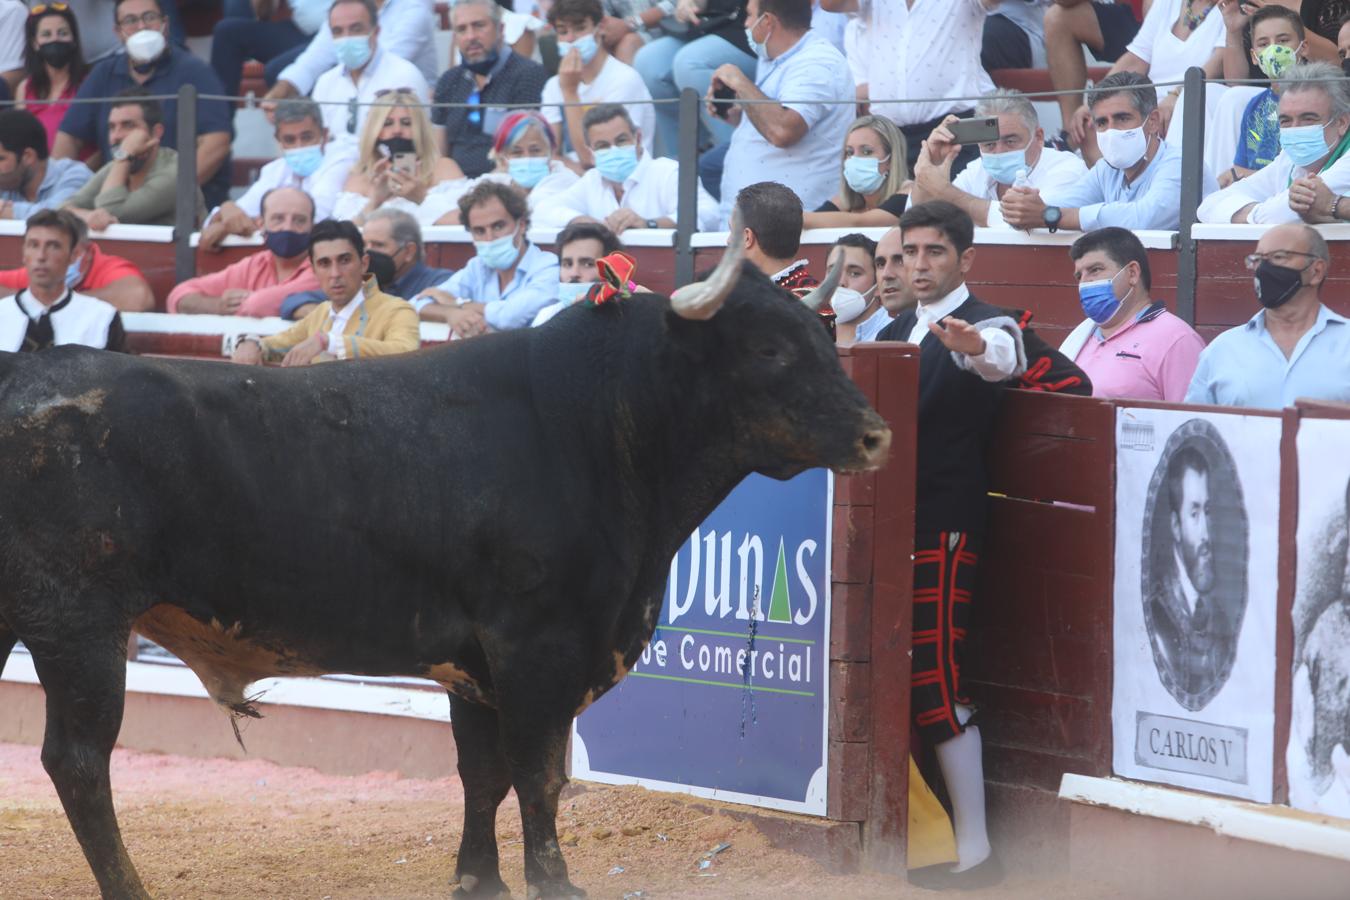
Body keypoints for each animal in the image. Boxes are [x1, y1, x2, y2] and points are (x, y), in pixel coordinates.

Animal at [0, 256, 891, 895]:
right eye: (770, 348)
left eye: (827, 339)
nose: (878, 435)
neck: (599, 422)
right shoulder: (537, 644)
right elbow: (537, 773)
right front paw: (552, 882)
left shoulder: (475, 660)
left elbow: (481, 774)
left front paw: (478, 880)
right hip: (81, 628)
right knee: (79, 763)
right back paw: (129, 888)